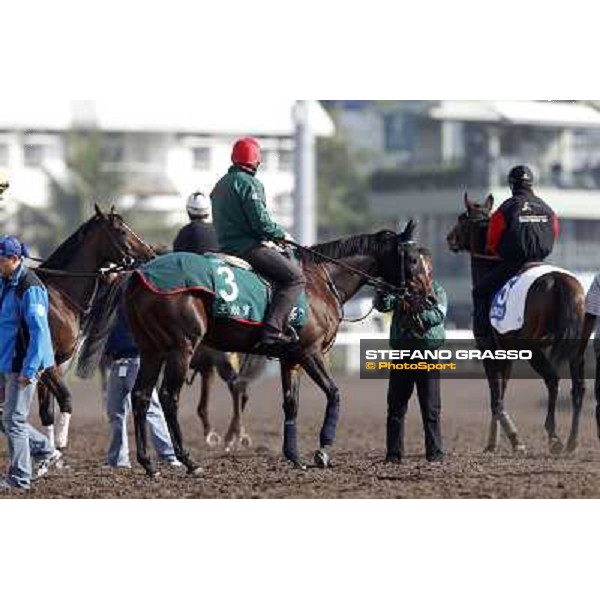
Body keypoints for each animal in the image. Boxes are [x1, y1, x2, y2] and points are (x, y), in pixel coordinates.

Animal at [34, 204, 156, 448]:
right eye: (121, 230)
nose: (150, 254)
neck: (57, 296)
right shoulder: (47, 364)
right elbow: (65, 399)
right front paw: (59, 443)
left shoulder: (52, 366)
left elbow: (47, 412)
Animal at [123, 223, 422, 476]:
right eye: (414, 259)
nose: (425, 296)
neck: (319, 282)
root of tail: (142, 276)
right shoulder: (310, 353)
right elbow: (334, 393)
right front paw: (323, 450)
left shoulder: (290, 359)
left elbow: (291, 404)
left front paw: (295, 457)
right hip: (181, 349)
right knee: (168, 397)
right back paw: (189, 461)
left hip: (152, 350)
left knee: (140, 396)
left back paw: (148, 463)